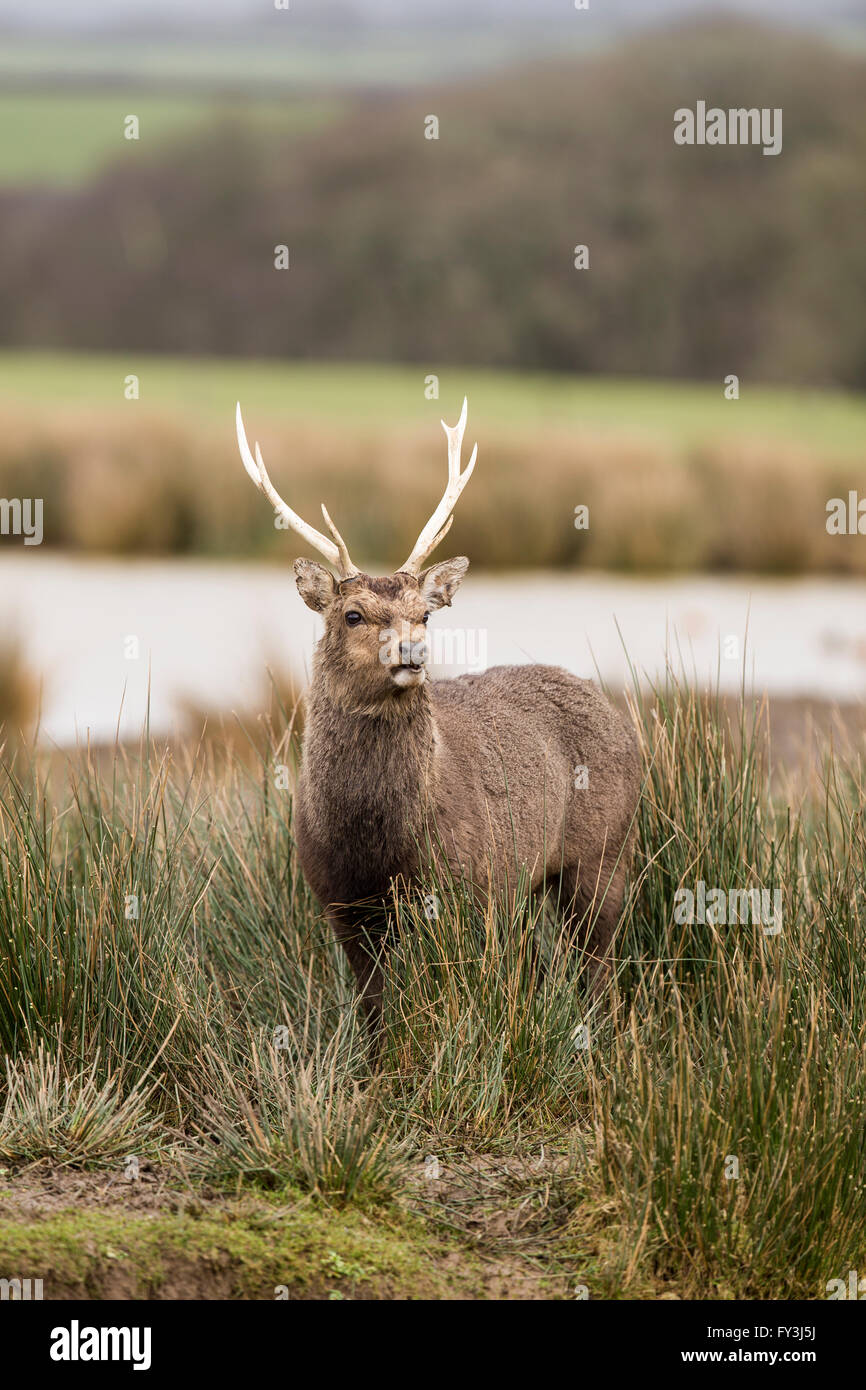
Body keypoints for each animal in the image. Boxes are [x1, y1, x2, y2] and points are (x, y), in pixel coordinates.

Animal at [236, 398, 640, 1040]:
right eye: (352, 614)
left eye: (424, 613)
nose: (412, 650)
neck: (374, 843)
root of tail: (621, 720)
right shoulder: (339, 903)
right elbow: (374, 1012)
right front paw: (374, 1065)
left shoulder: (460, 890)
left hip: (604, 853)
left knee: (597, 969)